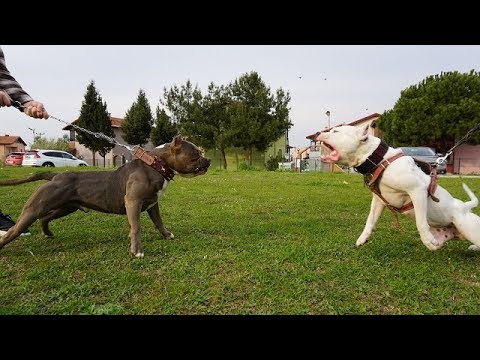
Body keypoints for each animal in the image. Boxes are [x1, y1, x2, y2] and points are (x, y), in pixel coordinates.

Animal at [0, 135, 210, 256]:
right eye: (195, 154)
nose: (208, 160)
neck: (155, 164)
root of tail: (56, 175)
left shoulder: (152, 205)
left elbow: (159, 222)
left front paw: (166, 235)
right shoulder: (133, 202)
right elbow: (136, 227)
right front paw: (137, 251)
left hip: (67, 207)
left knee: (45, 218)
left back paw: (47, 233)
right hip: (34, 209)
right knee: (14, 231)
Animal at [316, 125, 480, 252]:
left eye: (336, 131)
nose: (317, 133)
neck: (380, 160)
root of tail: (465, 206)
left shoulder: (417, 190)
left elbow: (421, 222)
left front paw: (427, 239)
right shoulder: (378, 201)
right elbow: (370, 220)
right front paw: (363, 238)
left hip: (467, 227)